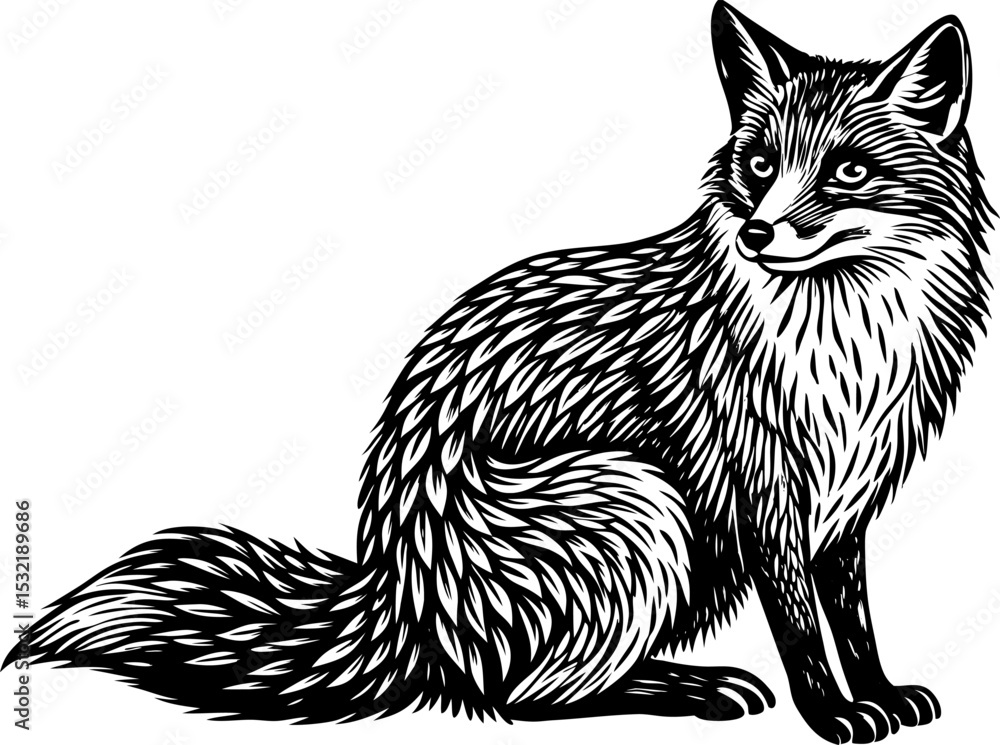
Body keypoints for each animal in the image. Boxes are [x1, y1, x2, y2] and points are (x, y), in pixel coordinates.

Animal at [5, 3, 993, 743]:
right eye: (759, 164)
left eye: (848, 171)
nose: (756, 233)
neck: (846, 345)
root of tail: (396, 598)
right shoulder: (759, 497)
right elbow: (801, 631)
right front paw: (831, 714)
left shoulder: (845, 505)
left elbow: (854, 619)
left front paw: (881, 693)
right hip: (639, 499)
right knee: (518, 697)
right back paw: (687, 687)